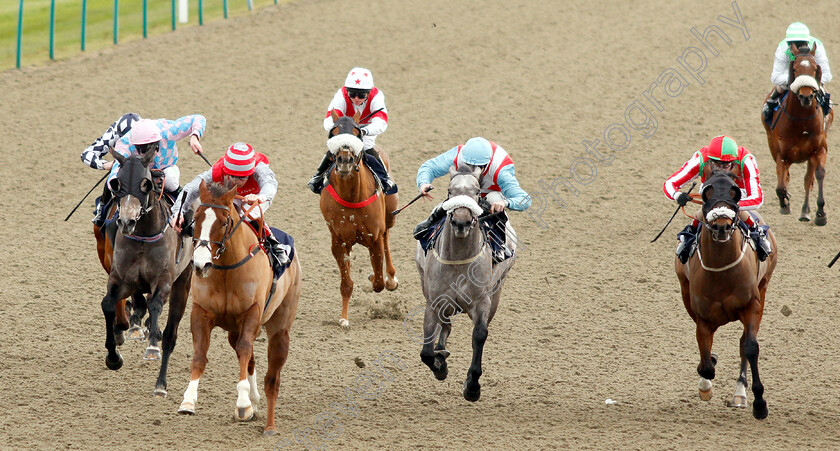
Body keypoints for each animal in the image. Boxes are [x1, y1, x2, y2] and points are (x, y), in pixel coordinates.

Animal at [177, 181, 302, 438]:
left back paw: (263, 416)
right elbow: (199, 356)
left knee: (270, 374)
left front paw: (243, 402)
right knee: (250, 358)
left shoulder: (251, 313)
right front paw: (188, 400)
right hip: (233, 330)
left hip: (279, 327)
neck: (226, 270)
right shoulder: (201, 313)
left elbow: (245, 350)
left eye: (224, 221)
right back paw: (253, 401)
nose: (200, 264)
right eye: (197, 217)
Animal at [322, 111, 400, 326]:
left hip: (390, 214)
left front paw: (377, 277)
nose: (345, 160)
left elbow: (379, 282)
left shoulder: (374, 237)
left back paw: (391, 278)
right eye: (334, 132)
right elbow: (346, 283)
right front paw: (343, 318)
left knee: (387, 237)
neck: (352, 196)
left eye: (357, 131)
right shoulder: (338, 241)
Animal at [416, 166, 520, 402]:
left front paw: (472, 385)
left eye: (476, 192)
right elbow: (426, 351)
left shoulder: (482, 302)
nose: (461, 222)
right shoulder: (434, 303)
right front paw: (440, 367)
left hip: (497, 292)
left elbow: (479, 335)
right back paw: (441, 353)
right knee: (445, 326)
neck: (458, 259)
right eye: (449, 190)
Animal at [676, 172, 776, 420]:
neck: (722, 273)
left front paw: (760, 404)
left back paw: (740, 393)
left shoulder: (751, 305)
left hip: (764, 288)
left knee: (743, 343)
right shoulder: (703, 317)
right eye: (706, 194)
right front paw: (706, 382)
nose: (721, 226)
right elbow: (706, 362)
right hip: (685, 292)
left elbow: (750, 347)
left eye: (735, 193)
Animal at [760, 44, 832, 224]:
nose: (806, 96)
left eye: (815, 68)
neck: (802, 122)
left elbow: (818, 175)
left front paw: (821, 213)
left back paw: (805, 212)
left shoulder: (819, 150)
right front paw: (784, 203)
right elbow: (780, 186)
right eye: (794, 68)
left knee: (808, 180)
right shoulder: (782, 155)